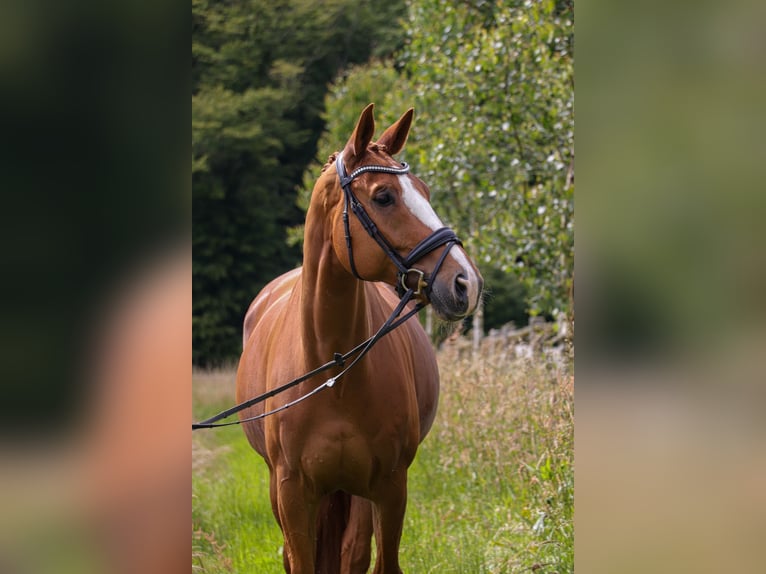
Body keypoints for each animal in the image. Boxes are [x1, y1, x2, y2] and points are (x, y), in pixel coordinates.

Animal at [237, 104, 484, 574]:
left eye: (424, 190)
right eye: (384, 196)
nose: (466, 282)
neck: (332, 372)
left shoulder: (389, 486)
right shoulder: (292, 491)